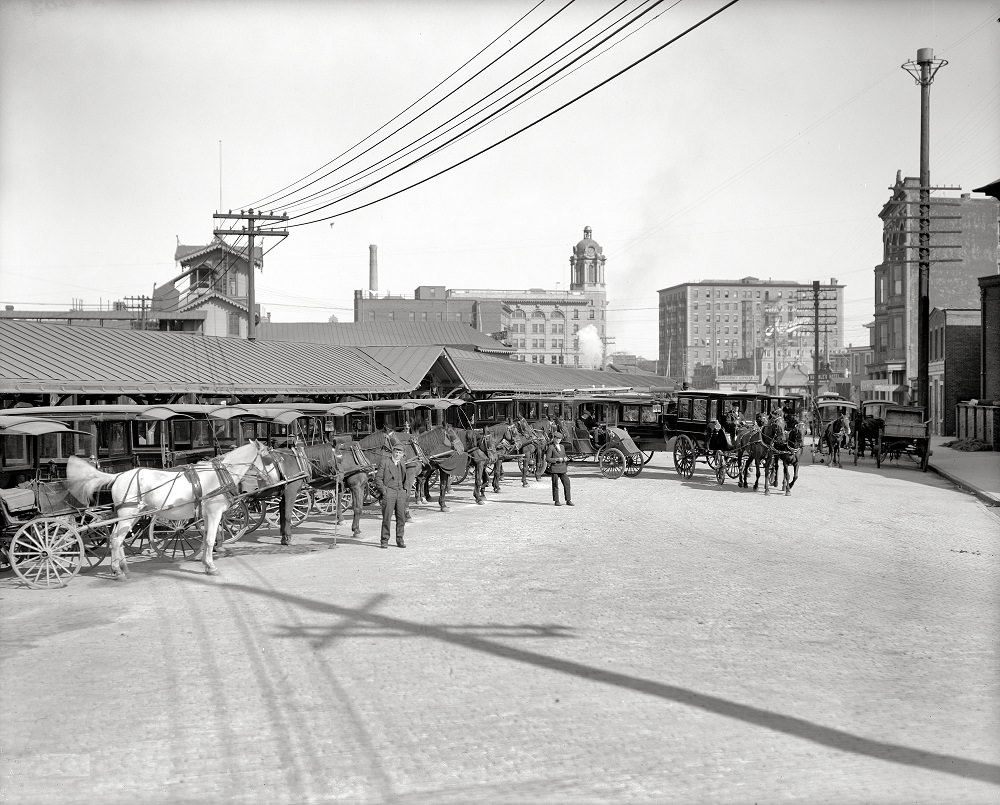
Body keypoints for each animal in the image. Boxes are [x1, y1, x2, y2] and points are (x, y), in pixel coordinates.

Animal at [67, 440, 280, 576]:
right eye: (268, 458)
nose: (278, 479)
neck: (219, 475)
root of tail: (118, 476)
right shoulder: (214, 512)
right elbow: (210, 539)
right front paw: (211, 567)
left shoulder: (206, 514)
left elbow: (206, 538)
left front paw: (205, 562)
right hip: (128, 513)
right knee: (116, 539)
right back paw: (118, 571)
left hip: (133, 514)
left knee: (117, 539)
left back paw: (123, 567)